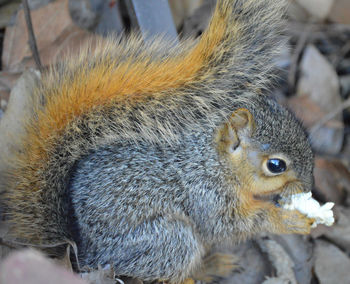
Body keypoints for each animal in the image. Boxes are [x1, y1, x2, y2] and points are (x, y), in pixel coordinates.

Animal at [0, 0, 316, 282]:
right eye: (275, 165)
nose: (308, 187)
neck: (215, 161)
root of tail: (84, 253)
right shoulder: (205, 193)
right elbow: (229, 225)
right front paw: (286, 220)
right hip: (168, 241)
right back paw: (205, 270)